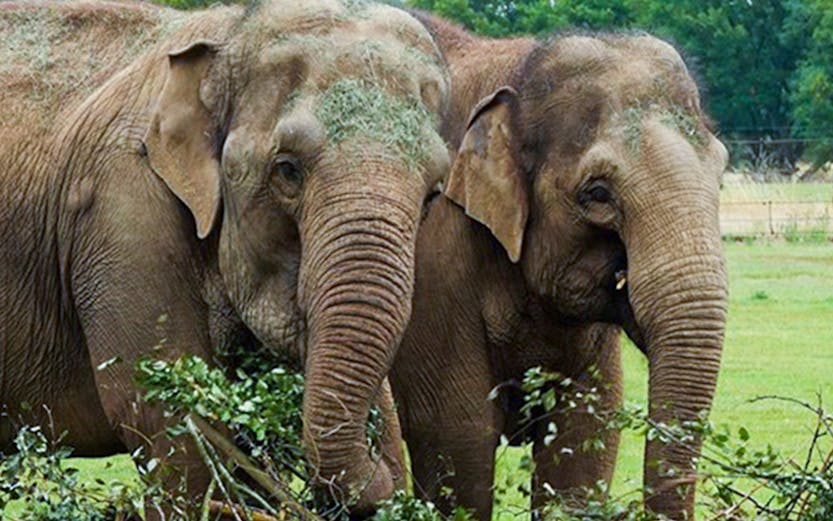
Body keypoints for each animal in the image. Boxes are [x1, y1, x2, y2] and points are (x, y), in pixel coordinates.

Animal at [0, 0, 450, 516]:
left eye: (433, 194)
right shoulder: (121, 212)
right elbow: (165, 416)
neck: (230, 28)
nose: (384, 471)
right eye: (287, 170)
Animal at [389, 13, 729, 521]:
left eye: (721, 174)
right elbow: (455, 437)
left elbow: (584, 437)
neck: (515, 65)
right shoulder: (432, 260)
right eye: (597, 193)